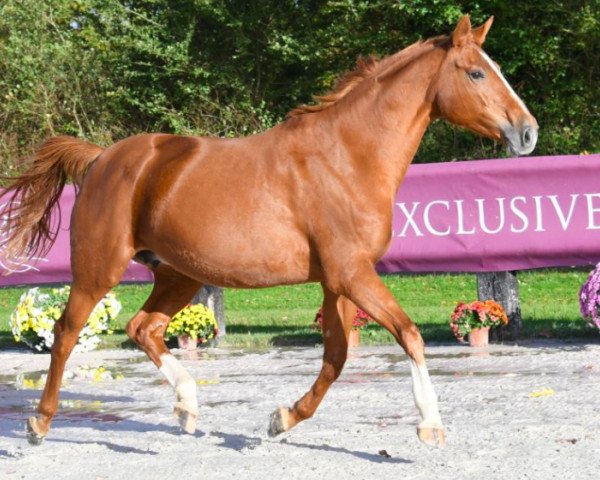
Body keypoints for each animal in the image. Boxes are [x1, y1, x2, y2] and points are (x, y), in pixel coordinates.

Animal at [1, 15, 540, 450]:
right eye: (476, 72)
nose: (528, 131)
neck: (347, 157)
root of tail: (102, 159)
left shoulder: (338, 281)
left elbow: (337, 356)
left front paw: (280, 420)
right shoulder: (351, 274)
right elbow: (408, 334)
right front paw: (430, 426)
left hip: (178, 275)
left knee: (143, 328)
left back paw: (188, 408)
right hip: (100, 267)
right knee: (66, 332)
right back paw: (39, 424)